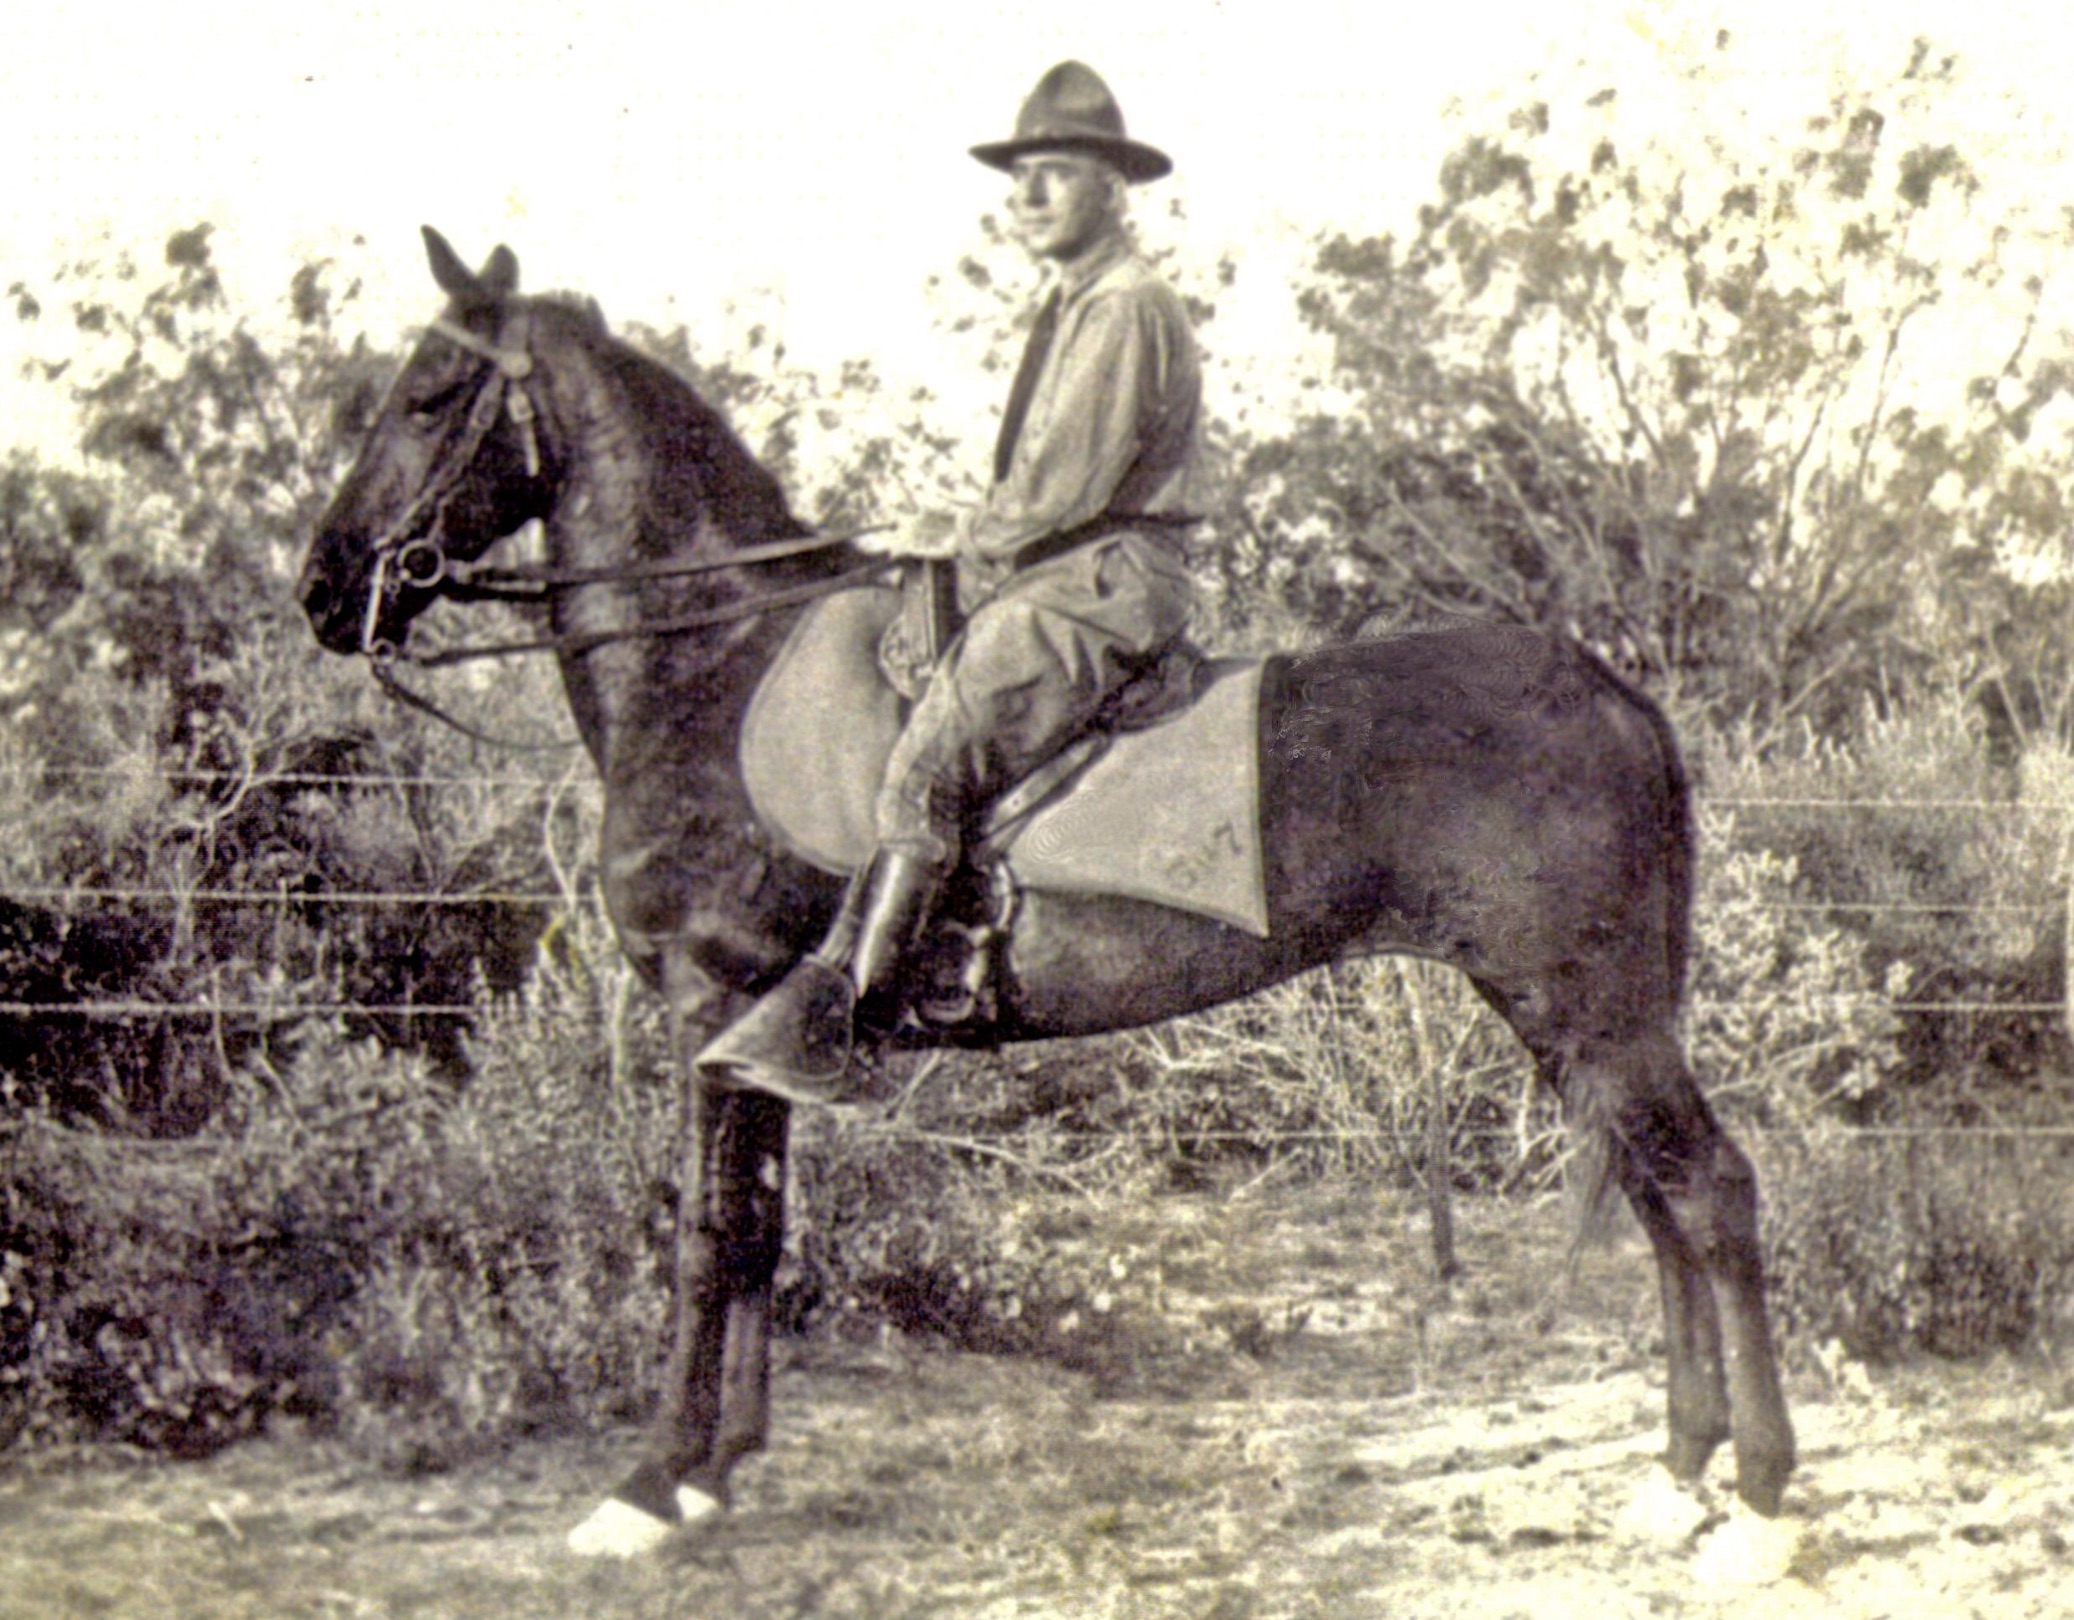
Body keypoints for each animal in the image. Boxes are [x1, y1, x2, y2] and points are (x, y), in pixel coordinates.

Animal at [297, 228, 1795, 1556]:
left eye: (426, 396)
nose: (322, 590)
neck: (717, 663)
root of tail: (1605, 689)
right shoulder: (750, 1039)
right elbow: (761, 1233)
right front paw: (720, 1471)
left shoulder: (707, 1008)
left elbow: (706, 1236)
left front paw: (650, 1484)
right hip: (1569, 1016)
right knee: (1661, 1200)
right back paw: (1677, 1476)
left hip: (1586, 1006)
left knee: (1710, 1191)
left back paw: (1757, 1501)